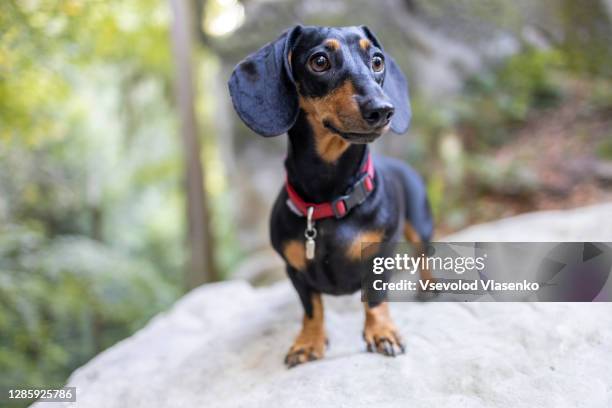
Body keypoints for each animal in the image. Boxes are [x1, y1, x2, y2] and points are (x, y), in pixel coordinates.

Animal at [230, 27, 436, 368]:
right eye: (320, 61)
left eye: (377, 61)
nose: (383, 110)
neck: (330, 198)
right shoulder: (295, 271)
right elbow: (312, 308)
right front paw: (308, 342)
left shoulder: (379, 257)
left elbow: (375, 298)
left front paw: (382, 332)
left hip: (420, 225)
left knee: (425, 255)